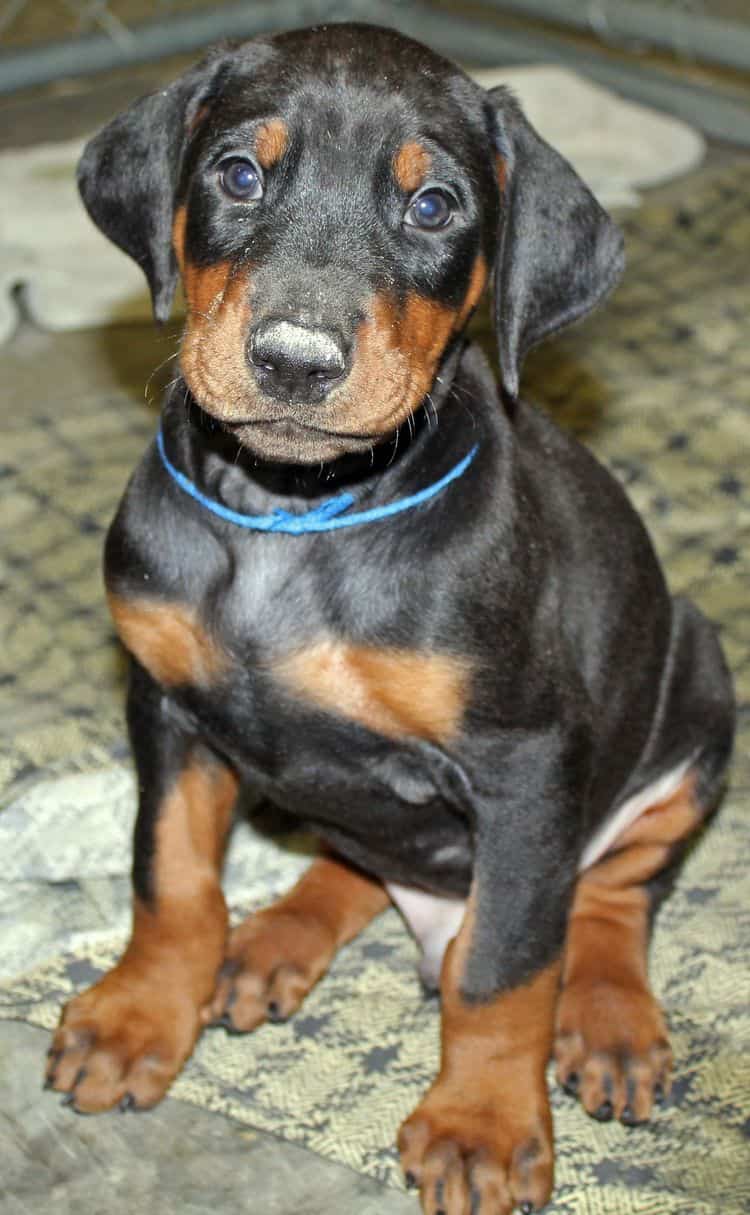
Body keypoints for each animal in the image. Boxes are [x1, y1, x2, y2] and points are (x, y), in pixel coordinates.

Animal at [45, 21, 729, 1215]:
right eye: (238, 174)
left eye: (435, 206)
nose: (294, 361)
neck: (294, 515)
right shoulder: (163, 702)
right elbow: (169, 875)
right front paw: (137, 1017)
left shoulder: (525, 763)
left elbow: (506, 966)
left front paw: (481, 1123)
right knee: (358, 853)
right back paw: (272, 939)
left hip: (696, 676)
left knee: (609, 894)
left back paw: (606, 1019)